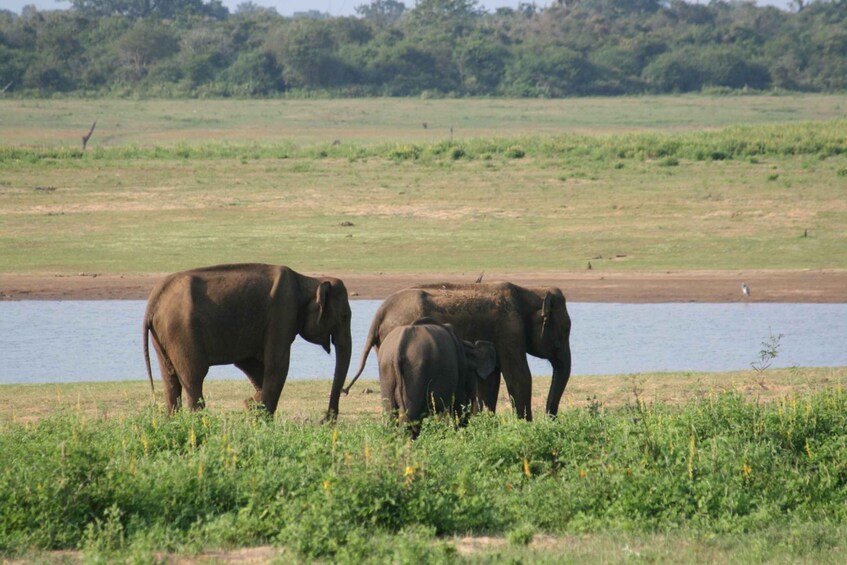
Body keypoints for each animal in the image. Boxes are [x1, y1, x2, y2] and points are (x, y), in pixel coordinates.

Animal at [142, 262, 352, 416]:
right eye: (344, 317)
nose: (326, 420)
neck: (308, 280)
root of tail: (153, 302)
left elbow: (251, 364)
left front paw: (252, 404)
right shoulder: (283, 314)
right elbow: (277, 365)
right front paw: (260, 414)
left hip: (162, 337)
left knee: (171, 381)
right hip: (181, 331)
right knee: (194, 378)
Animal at [348, 282, 572, 418]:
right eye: (563, 332)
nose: (549, 420)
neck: (530, 291)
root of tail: (380, 311)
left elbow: (490, 380)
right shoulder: (510, 330)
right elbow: (519, 377)